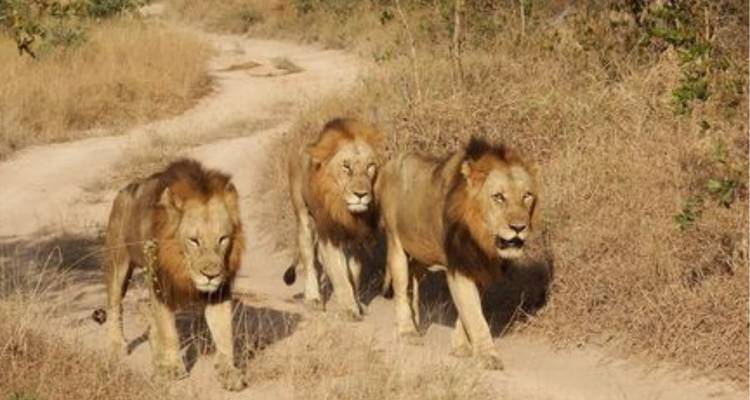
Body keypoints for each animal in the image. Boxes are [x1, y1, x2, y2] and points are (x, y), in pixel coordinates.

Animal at [94, 159, 246, 391]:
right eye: (194, 240)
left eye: (222, 239)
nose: (211, 275)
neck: (182, 265)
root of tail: (124, 190)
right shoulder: (160, 284)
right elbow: (168, 330)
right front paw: (173, 368)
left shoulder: (219, 291)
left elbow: (223, 331)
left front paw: (229, 371)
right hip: (117, 262)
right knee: (115, 306)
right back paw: (117, 346)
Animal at [283, 118, 382, 320]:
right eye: (346, 166)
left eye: (370, 166)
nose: (361, 195)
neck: (344, 211)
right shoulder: (328, 235)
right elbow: (339, 274)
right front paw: (349, 308)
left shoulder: (355, 238)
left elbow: (353, 274)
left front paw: (357, 303)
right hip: (304, 220)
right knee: (310, 262)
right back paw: (313, 298)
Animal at [375, 137, 538, 370]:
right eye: (498, 197)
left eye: (527, 196)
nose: (519, 227)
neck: (480, 238)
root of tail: (389, 163)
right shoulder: (459, 266)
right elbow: (474, 314)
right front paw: (488, 356)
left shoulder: (478, 267)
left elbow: (468, 311)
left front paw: (461, 347)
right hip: (396, 243)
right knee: (400, 287)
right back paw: (407, 331)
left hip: (422, 254)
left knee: (412, 281)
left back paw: (415, 321)